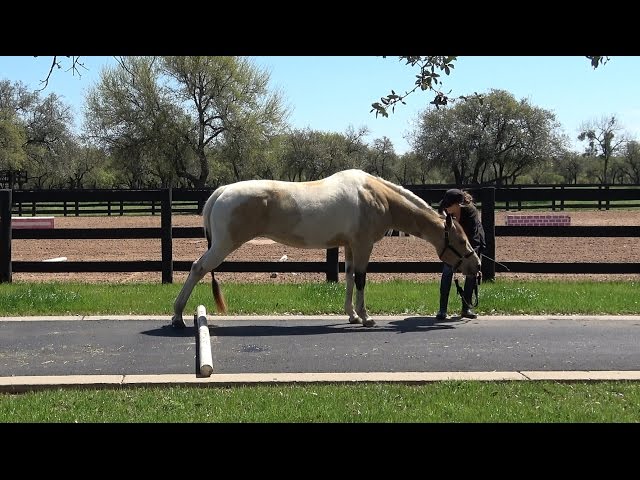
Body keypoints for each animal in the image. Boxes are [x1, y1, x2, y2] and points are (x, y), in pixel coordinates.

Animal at [170, 170, 480, 330]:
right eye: (461, 241)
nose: (476, 266)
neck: (376, 196)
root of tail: (221, 192)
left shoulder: (350, 247)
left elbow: (349, 278)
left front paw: (352, 315)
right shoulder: (363, 246)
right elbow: (361, 280)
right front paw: (366, 318)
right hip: (222, 246)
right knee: (196, 268)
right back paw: (177, 317)